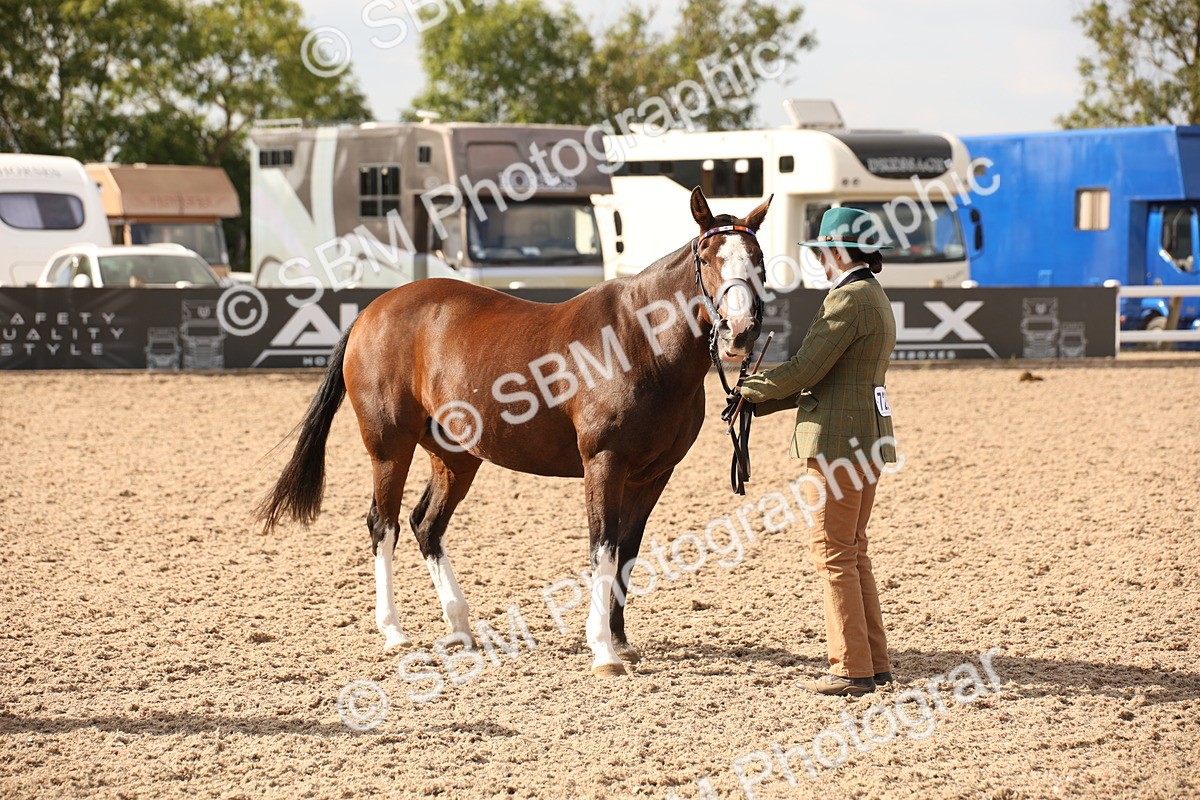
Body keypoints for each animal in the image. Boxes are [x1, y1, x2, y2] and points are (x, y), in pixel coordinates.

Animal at [257, 187, 772, 677]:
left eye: (758, 258)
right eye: (707, 259)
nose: (739, 331)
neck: (638, 344)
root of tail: (370, 311)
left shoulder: (653, 474)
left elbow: (627, 550)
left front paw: (621, 640)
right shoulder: (604, 463)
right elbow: (602, 547)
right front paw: (603, 650)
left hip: (456, 456)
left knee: (426, 524)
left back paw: (460, 626)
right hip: (389, 448)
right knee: (383, 525)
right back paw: (394, 632)